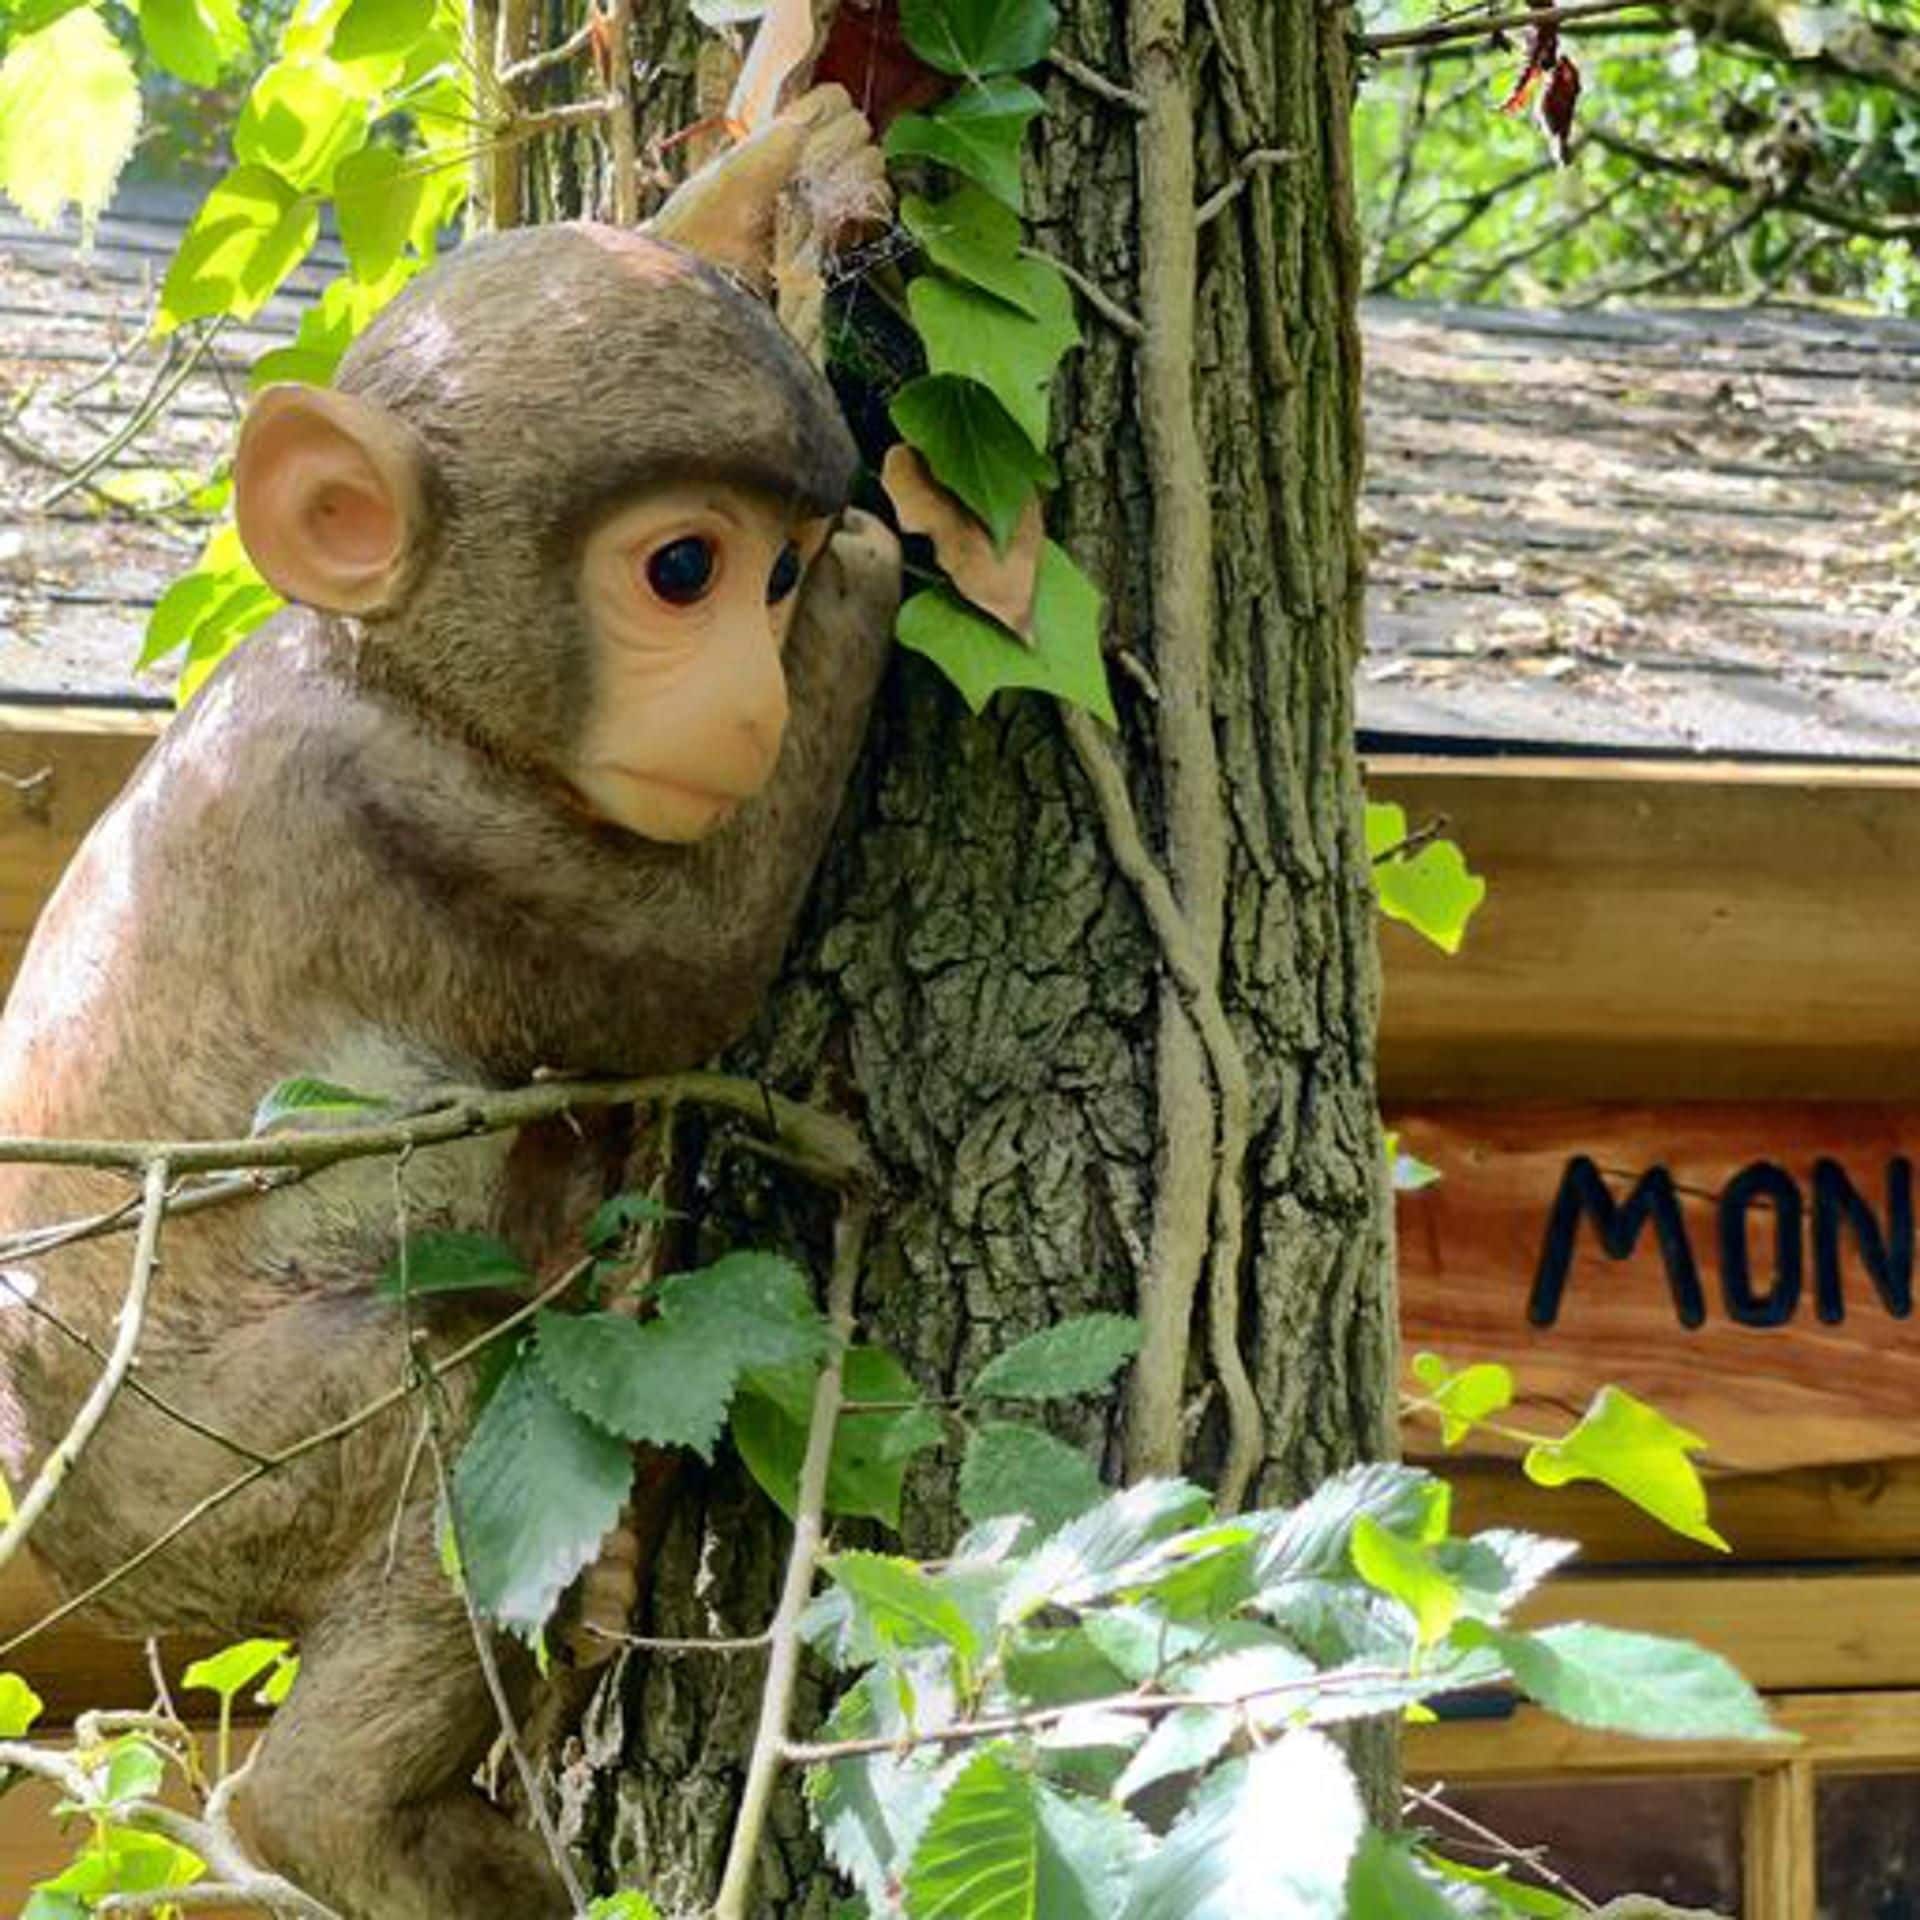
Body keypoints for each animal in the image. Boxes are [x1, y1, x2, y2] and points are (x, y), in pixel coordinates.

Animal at [0, 181, 900, 1916]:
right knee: (443, 1392)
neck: (366, 661)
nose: (755, 695)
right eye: (685, 568)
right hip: (186, 1475)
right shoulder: (392, 807)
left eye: (766, 577)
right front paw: (885, 584)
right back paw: (332, 1824)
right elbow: (688, 979)